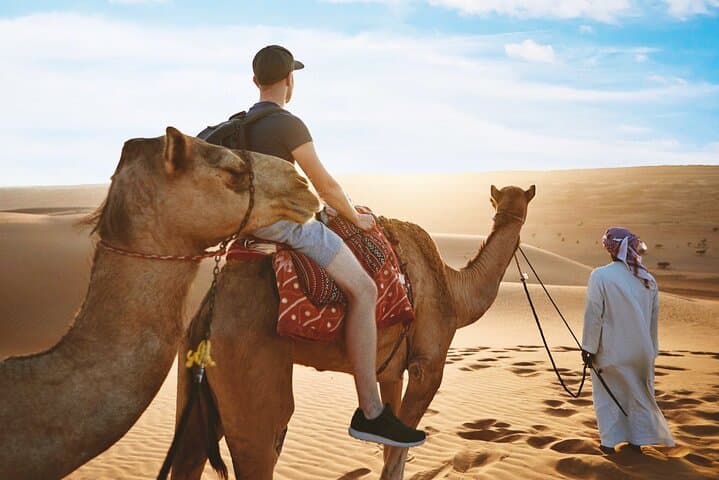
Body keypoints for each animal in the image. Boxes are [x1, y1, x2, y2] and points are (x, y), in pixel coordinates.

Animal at [170, 184, 535, 480]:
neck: (455, 292)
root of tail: (209, 314)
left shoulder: (391, 373)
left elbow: (391, 447)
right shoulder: (427, 366)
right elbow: (397, 456)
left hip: (195, 380)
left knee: (187, 454)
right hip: (249, 379)